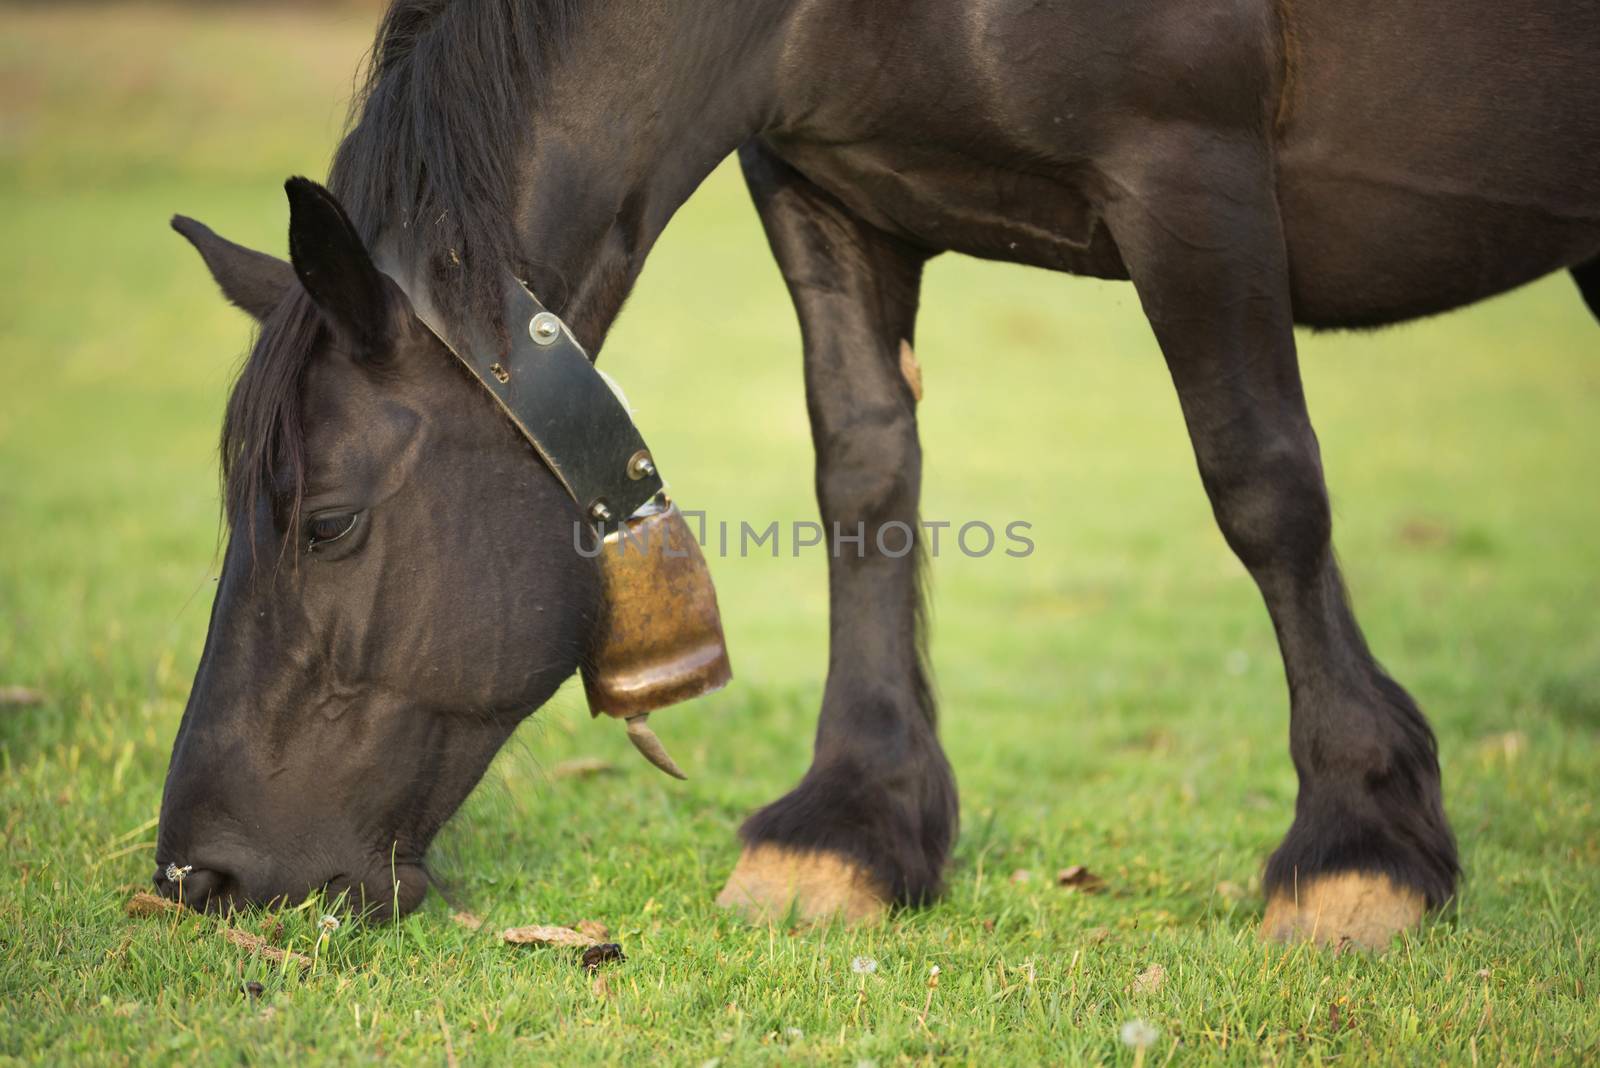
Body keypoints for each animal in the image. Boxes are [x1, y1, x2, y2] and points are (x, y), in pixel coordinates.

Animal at [156, 0, 1593, 952]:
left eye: (328, 523)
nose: (197, 876)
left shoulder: (1191, 167)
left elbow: (1261, 484)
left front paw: (1360, 842)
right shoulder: (821, 186)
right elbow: (862, 478)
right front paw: (851, 826)